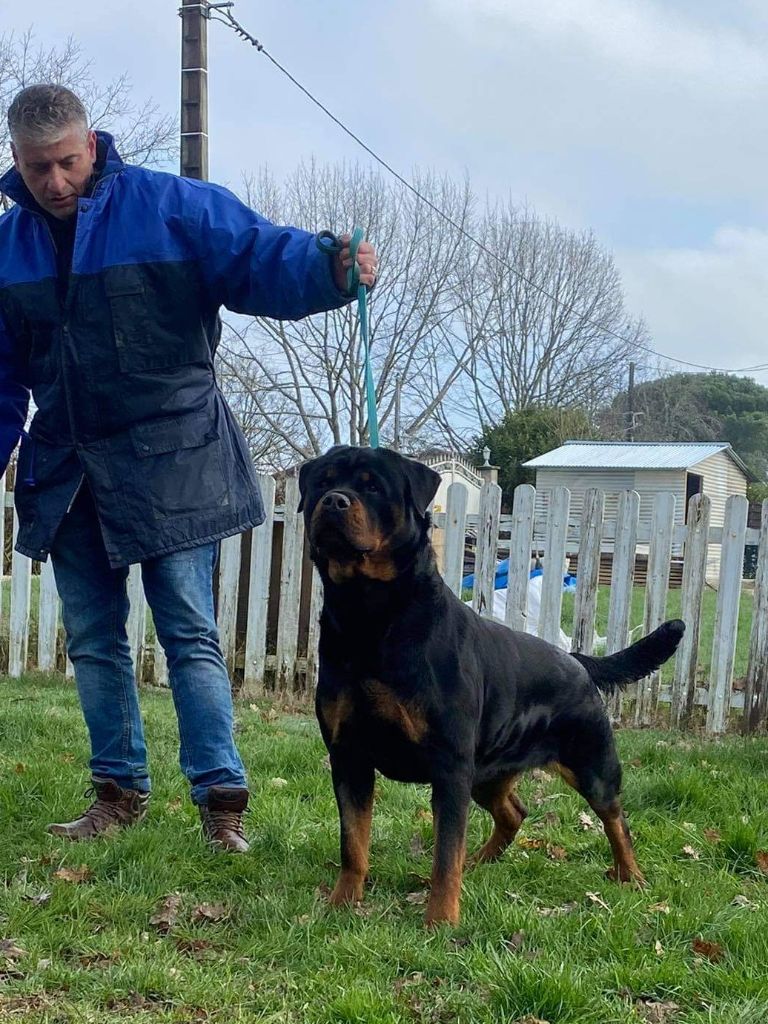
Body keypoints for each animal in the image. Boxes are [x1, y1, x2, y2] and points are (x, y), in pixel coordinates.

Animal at [298, 445, 685, 926]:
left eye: (372, 486)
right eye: (322, 481)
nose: (333, 501)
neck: (369, 618)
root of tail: (576, 661)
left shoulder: (449, 765)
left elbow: (445, 852)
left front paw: (441, 921)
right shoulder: (348, 755)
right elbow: (353, 842)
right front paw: (341, 904)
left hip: (589, 761)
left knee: (616, 817)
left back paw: (631, 875)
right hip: (487, 771)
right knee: (514, 812)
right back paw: (482, 861)